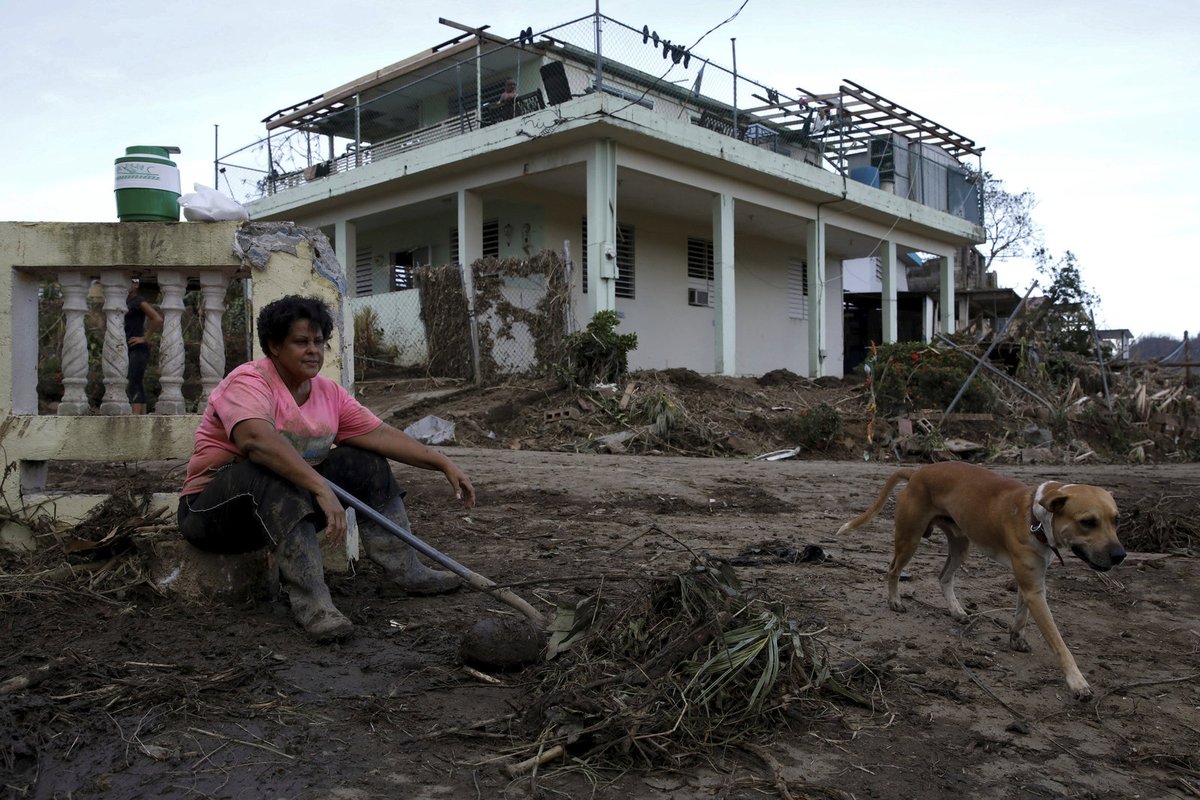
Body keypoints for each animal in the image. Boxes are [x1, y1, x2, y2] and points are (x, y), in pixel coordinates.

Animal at [835, 460, 1123, 695]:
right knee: (893, 569)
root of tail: (917, 472)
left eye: (1116, 520)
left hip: (960, 545)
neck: (1035, 517)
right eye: (1088, 522)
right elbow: (1059, 642)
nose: (1120, 555)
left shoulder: (1032, 582)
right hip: (910, 539)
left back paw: (956, 610)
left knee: (944, 576)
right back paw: (895, 601)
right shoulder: (1033, 590)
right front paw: (1077, 681)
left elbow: (1021, 615)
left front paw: (1016, 638)